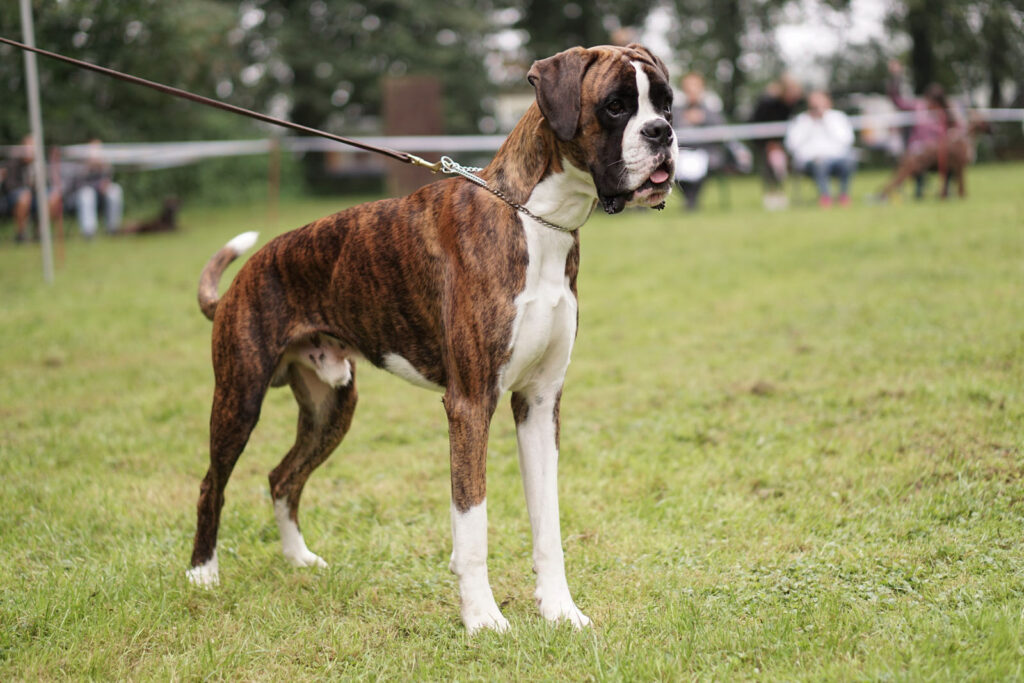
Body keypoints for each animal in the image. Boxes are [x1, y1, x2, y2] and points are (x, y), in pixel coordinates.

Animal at [188, 42, 675, 634]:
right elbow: (472, 520)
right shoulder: (470, 404)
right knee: (213, 483)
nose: (662, 132)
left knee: (283, 477)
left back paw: (299, 559)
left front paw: (560, 610)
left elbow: (548, 523)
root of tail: (244, 277)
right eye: (615, 106)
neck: (537, 220)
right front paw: (483, 619)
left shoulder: (538, 403)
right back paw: (202, 574)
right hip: (240, 398)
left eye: (666, 103)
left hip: (332, 406)